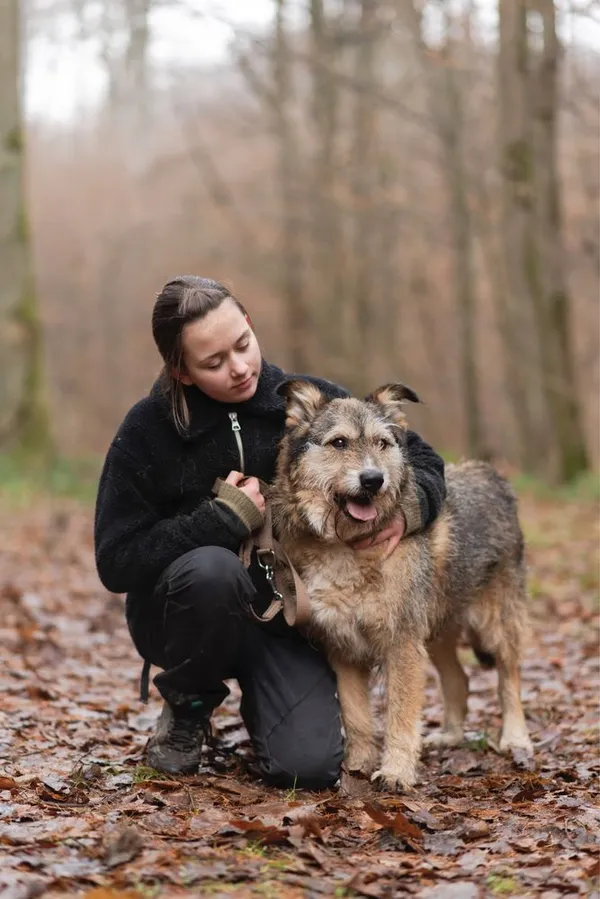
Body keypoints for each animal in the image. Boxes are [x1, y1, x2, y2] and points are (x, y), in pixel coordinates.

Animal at [272, 384, 536, 792]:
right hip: (437, 631)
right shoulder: (342, 647)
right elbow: (356, 717)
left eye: (382, 443)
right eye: (339, 442)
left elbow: (400, 715)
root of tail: (491, 472)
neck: (347, 545)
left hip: (496, 622)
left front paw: (396, 772)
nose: (373, 479)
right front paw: (357, 765)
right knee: (458, 680)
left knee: (509, 678)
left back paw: (515, 737)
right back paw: (450, 735)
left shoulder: (402, 644)